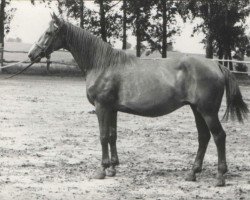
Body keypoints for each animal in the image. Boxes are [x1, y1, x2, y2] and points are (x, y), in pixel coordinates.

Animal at [27, 13, 248, 186]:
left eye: (49, 33)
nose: (31, 54)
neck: (102, 64)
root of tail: (216, 65)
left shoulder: (102, 107)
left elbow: (103, 136)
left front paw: (102, 170)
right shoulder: (112, 109)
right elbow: (112, 136)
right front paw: (113, 168)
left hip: (208, 111)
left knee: (219, 137)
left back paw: (219, 177)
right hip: (196, 109)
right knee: (204, 137)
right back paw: (192, 173)